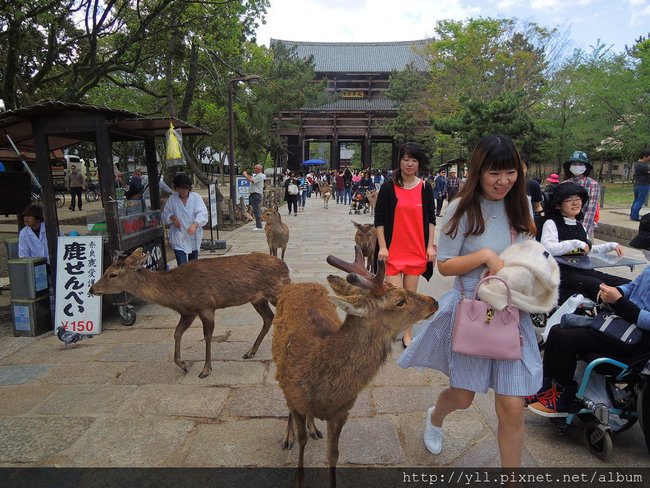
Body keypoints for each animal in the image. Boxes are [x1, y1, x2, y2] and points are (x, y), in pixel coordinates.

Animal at [88, 248, 288, 378]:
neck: (176, 290)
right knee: (268, 318)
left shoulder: (206, 305)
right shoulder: (188, 312)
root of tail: (285, 266)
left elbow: (207, 336)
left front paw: (205, 370)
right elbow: (177, 333)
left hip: (276, 291)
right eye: (105, 270)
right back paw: (250, 352)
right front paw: (183, 365)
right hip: (257, 299)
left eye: (112, 274)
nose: (92, 289)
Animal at [270, 246, 438, 470]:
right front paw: (294, 447)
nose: (434, 302)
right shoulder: (294, 395)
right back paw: (288, 438)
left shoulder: (342, 412)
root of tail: (298, 284)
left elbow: (333, 455)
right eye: (400, 301)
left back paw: (314, 428)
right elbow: (302, 443)